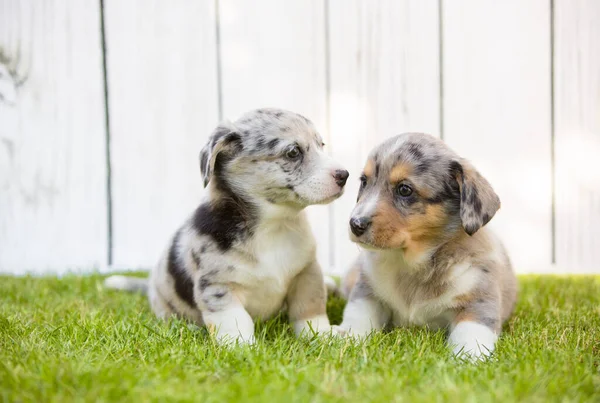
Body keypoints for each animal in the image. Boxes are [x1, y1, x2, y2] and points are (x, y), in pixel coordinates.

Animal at [106, 107, 350, 344]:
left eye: (321, 145)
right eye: (293, 152)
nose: (344, 175)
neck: (273, 227)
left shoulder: (307, 273)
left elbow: (310, 311)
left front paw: (322, 335)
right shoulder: (219, 288)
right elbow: (236, 321)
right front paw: (242, 347)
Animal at [336, 134, 516, 362]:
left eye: (404, 189)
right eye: (364, 181)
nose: (355, 224)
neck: (413, 263)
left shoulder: (478, 300)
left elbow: (470, 336)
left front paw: (466, 360)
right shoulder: (368, 291)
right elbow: (357, 318)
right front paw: (344, 338)